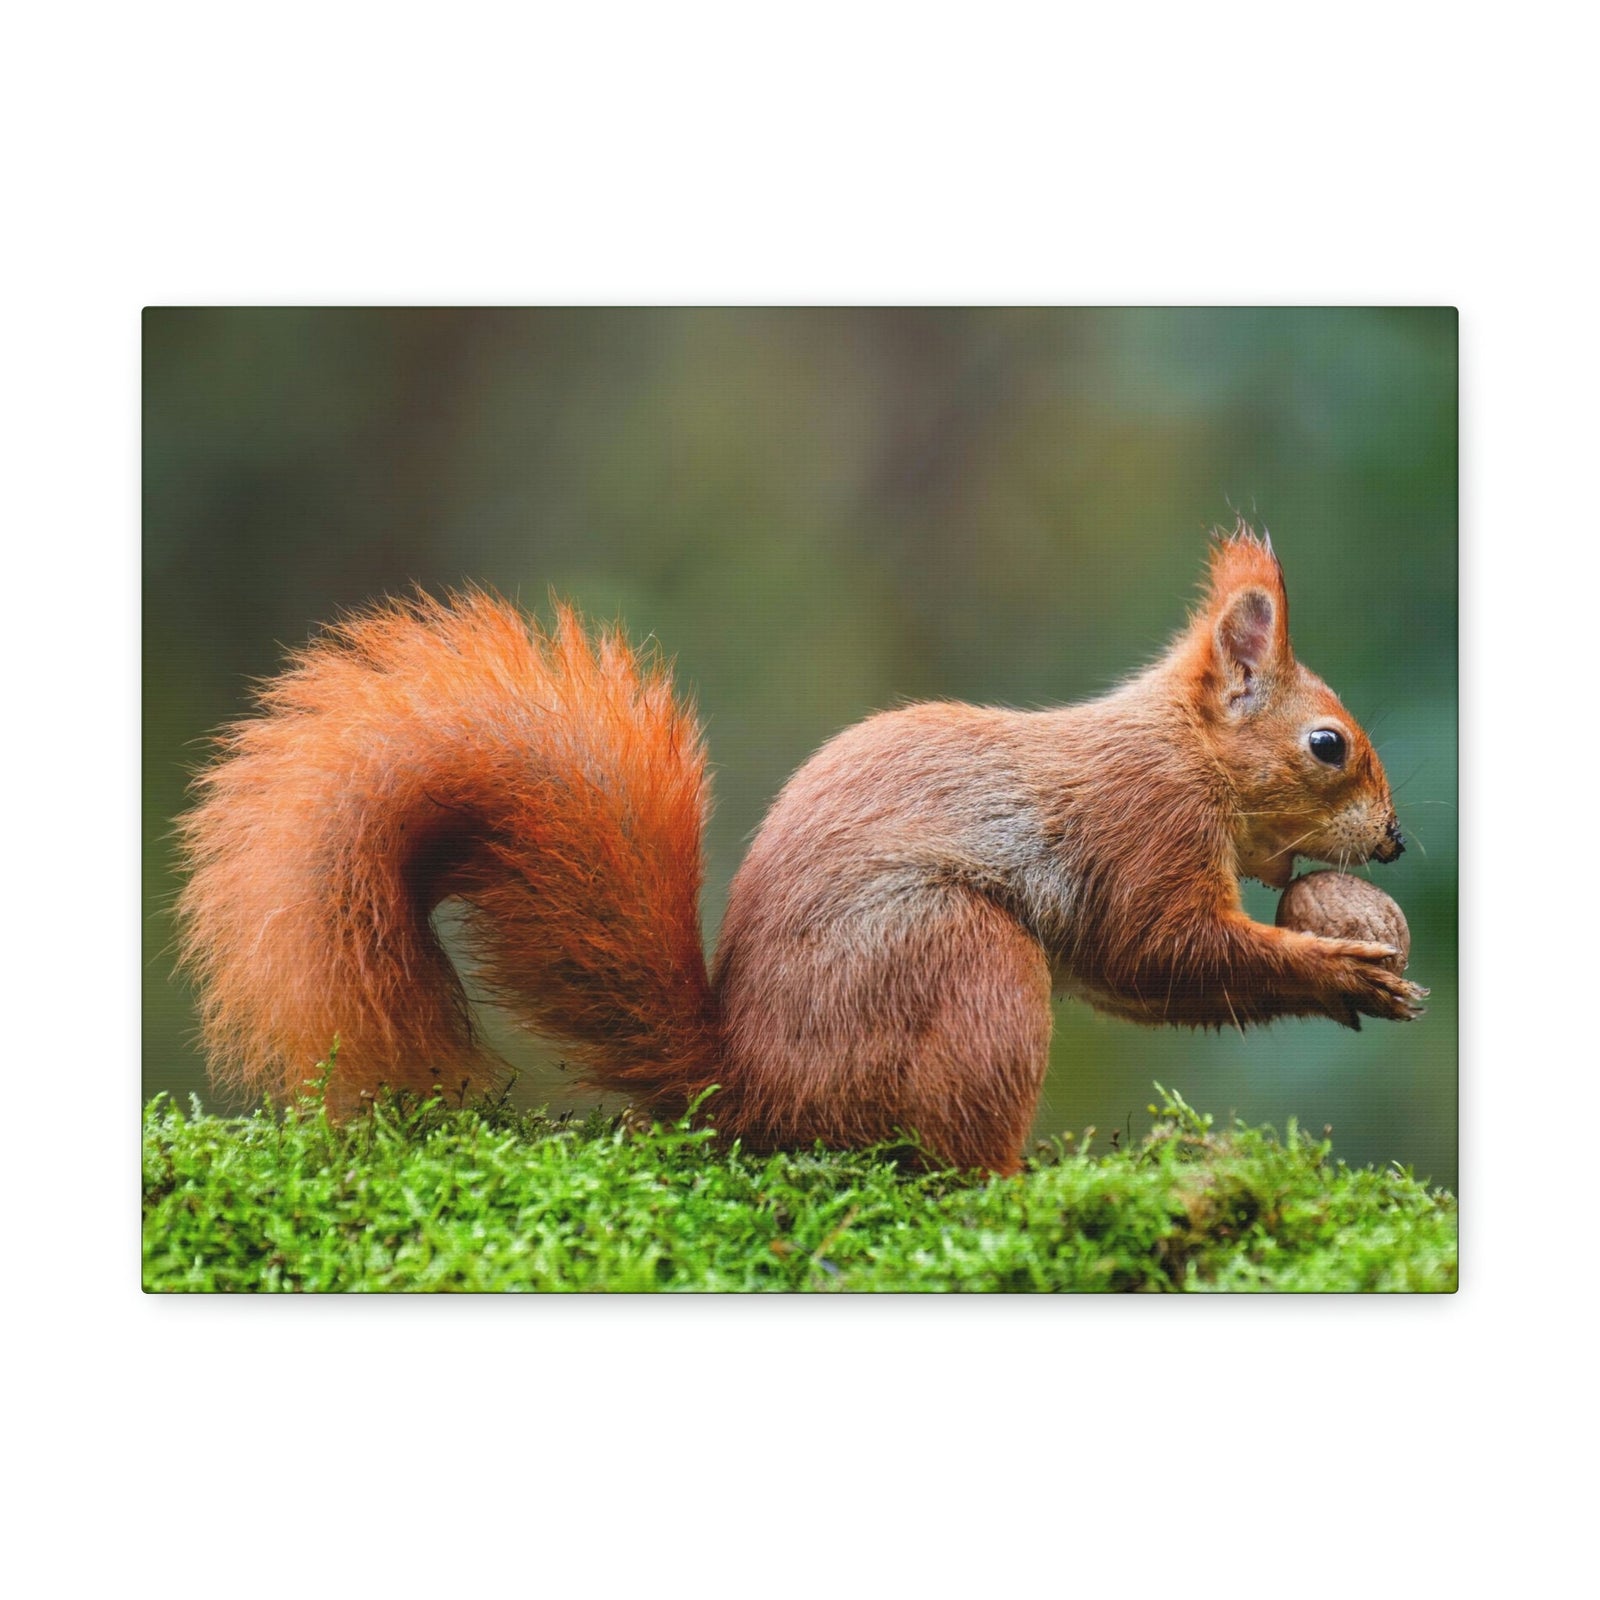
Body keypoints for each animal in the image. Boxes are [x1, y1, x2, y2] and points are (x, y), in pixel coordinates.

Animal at [174, 524, 1424, 1175]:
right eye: (1326, 745)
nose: (1399, 839)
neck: (1182, 750)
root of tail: (749, 1086)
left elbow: (1142, 978)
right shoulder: (1141, 828)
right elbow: (1160, 948)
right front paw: (1338, 968)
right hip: (961, 963)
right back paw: (1011, 1181)